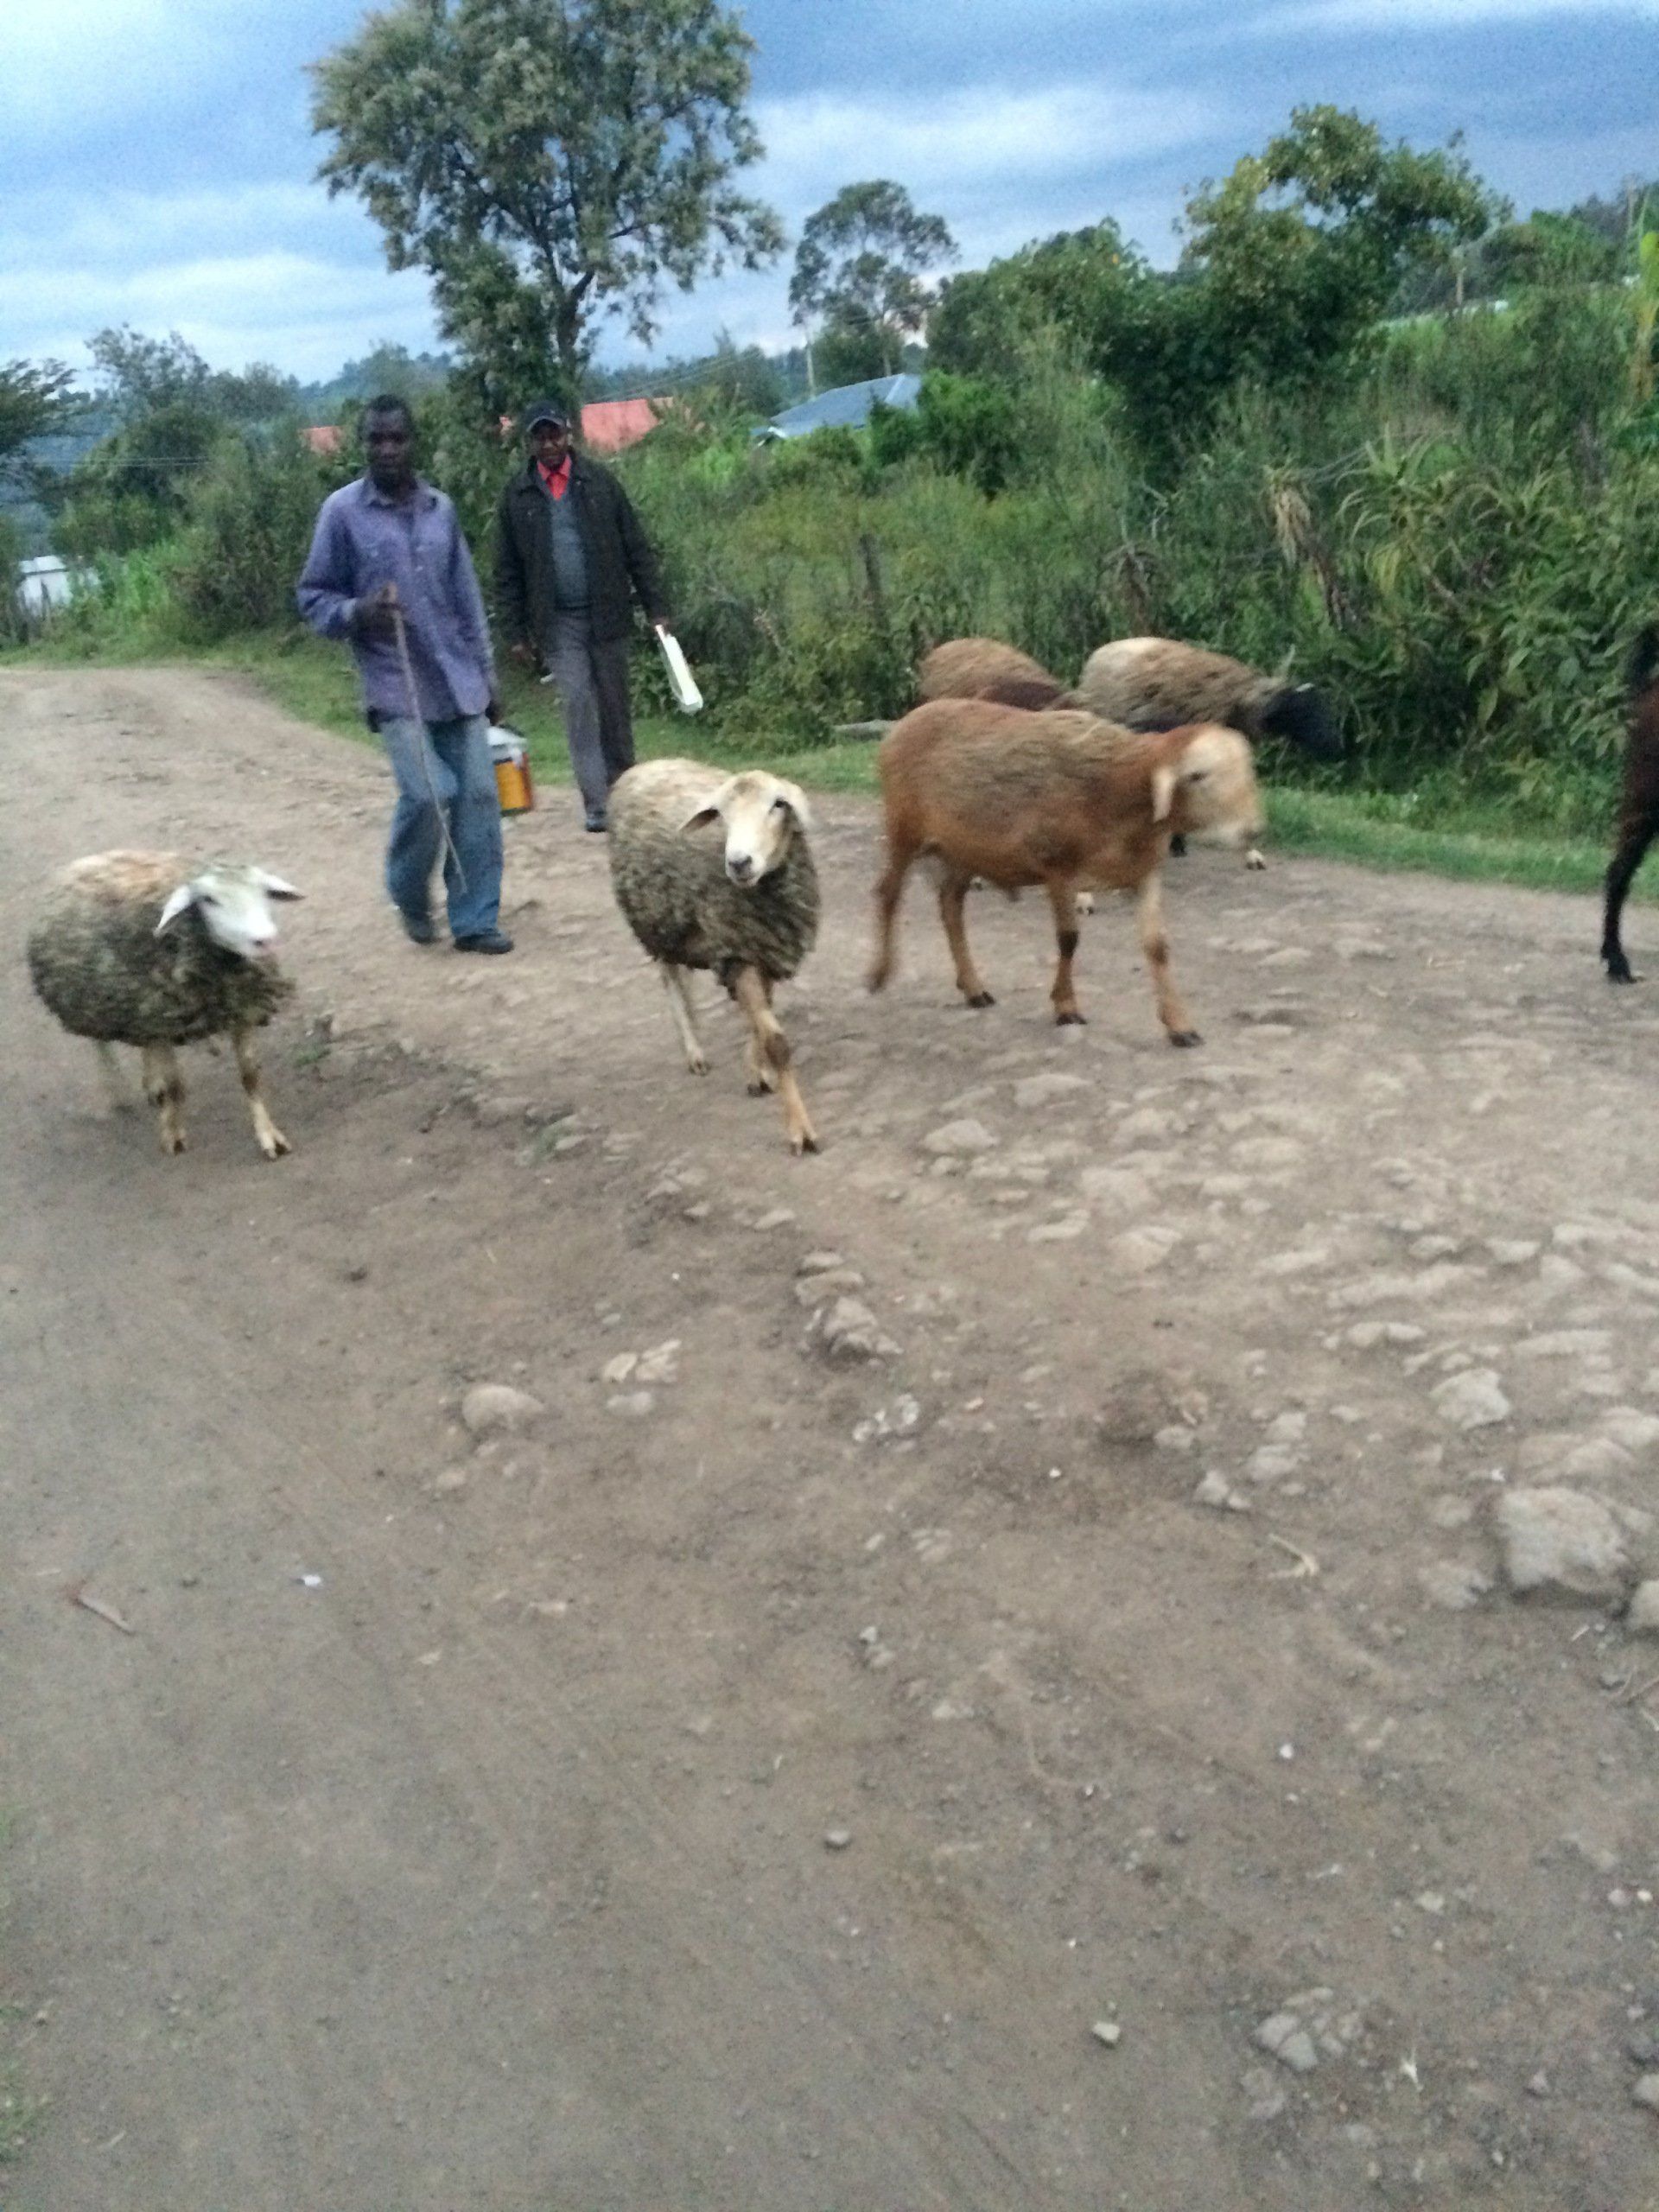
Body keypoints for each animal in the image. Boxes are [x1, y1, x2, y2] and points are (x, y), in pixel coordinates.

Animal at [27, 851, 302, 1159]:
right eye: (209, 900)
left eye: (263, 892)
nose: (264, 940)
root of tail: (90, 859)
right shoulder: (162, 1022)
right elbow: (175, 1086)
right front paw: (173, 1134)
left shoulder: (240, 1008)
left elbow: (250, 1076)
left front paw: (269, 1136)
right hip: (97, 1001)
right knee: (102, 1044)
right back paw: (119, 1092)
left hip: (140, 1010)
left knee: (143, 1045)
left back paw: (151, 1083)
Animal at [608, 759, 822, 1153]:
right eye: (720, 814)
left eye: (778, 804)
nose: (738, 862)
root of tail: (649, 763)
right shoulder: (737, 950)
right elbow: (775, 1040)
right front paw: (800, 1130)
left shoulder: (759, 947)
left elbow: (758, 1019)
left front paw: (757, 1072)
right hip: (657, 919)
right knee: (671, 978)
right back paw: (694, 1051)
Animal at [867, 699, 1263, 1039]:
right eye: (1198, 775)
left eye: (1245, 771)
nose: (1253, 830)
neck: (1118, 791)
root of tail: (907, 721)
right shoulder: (1059, 867)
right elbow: (1069, 939)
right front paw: (1066, 1006)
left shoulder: (1144, 871)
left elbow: (1157, 946)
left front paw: (1179, 1025)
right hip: (904, 829)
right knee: (888, 893)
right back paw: (880, 974)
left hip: (964, 849)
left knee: (950, 904)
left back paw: (974, 987)